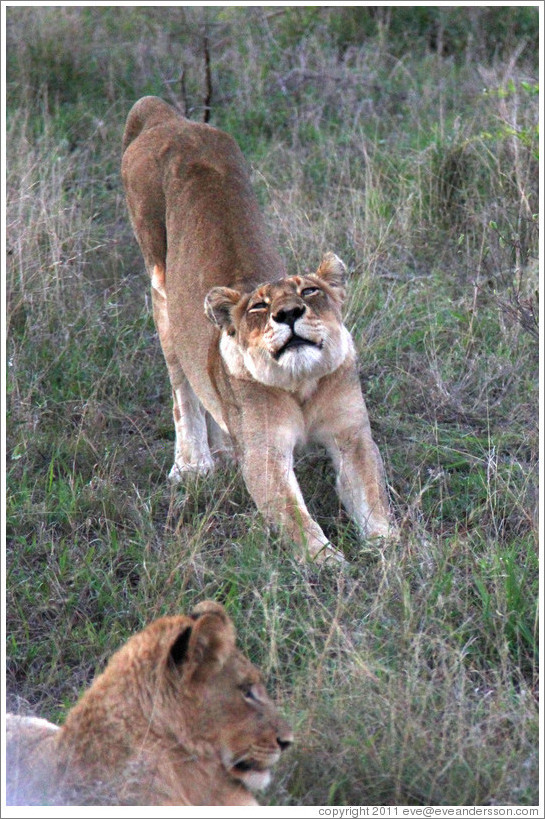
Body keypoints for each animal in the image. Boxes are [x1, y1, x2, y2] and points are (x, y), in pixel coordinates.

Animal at [121, 96, 394, 563]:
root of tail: (167, 116)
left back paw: (223, 450)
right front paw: (330, 566)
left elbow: (374, 498)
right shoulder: (265, 453)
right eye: (261, 307)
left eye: (309, 290)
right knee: (182, 390)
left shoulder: (351, 437)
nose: (289, 313)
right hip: (161, 293)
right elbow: (293, 516)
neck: (300, 385)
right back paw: (194, 465)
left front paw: (397, 552)